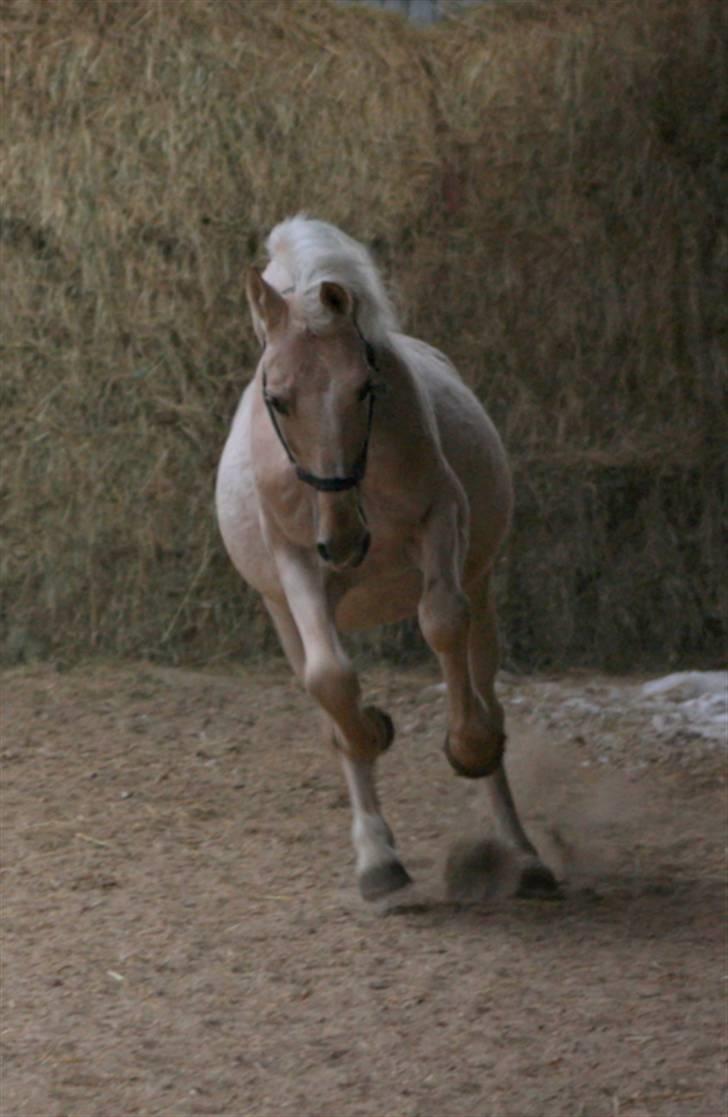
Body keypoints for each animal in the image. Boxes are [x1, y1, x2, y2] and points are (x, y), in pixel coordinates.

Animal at [216, 220, 558, 907]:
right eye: (278, 398)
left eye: (364, 388)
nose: (346, 541)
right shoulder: (297, 561)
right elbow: (331, 680)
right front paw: (372, 730)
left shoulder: (440, 519)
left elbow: (442, 623)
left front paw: (467, 748)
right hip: (286, 613)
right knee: (327, 688)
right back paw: (378, 859)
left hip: (481, 587)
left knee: (483, 687)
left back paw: (523, 855)